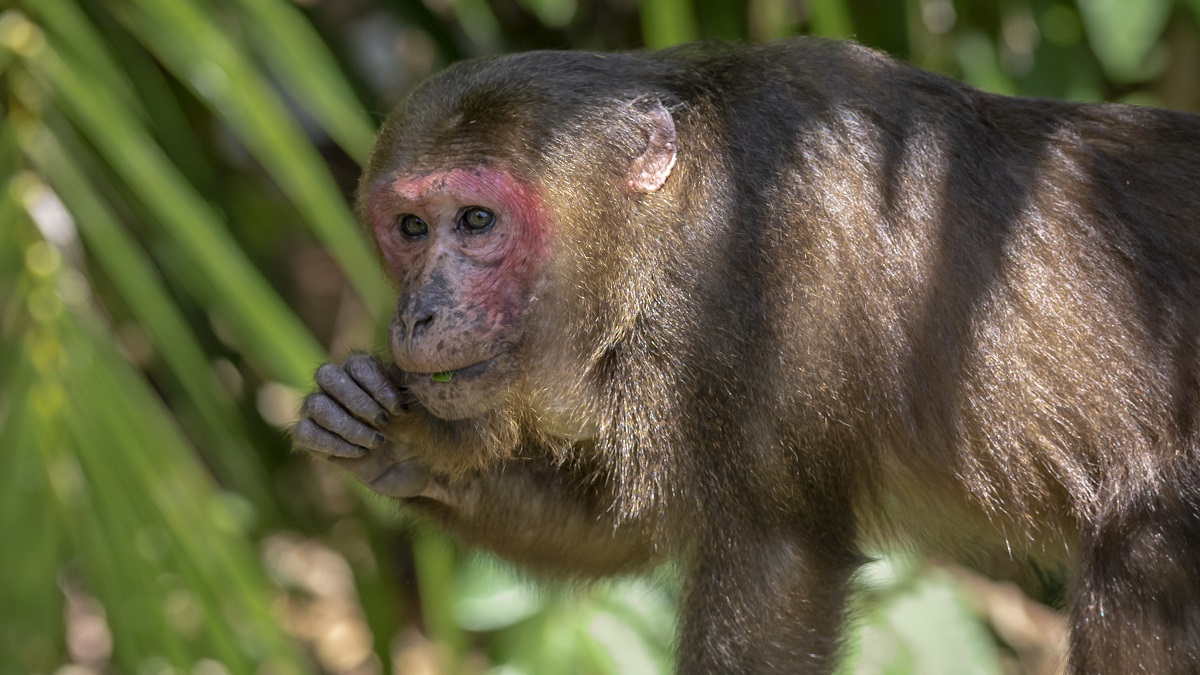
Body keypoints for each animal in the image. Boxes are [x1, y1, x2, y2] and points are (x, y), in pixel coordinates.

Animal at [290, 38, 1200, 672]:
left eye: (476, 221)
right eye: (411, 228)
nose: (419, 313)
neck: (671, 224)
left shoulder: (759, 284)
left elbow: (777, 561)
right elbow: (631, 527)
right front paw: (395, 437)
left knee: (1146, 551)